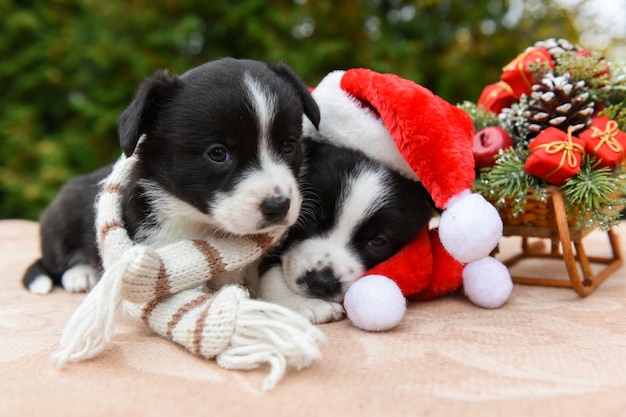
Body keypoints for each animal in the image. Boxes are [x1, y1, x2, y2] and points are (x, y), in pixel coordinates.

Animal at [22, 57, 320, 292]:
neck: (204, 226)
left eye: (289, 145)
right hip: (60, 218)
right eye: (218, 153)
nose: (278, 206)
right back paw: (80, 274)